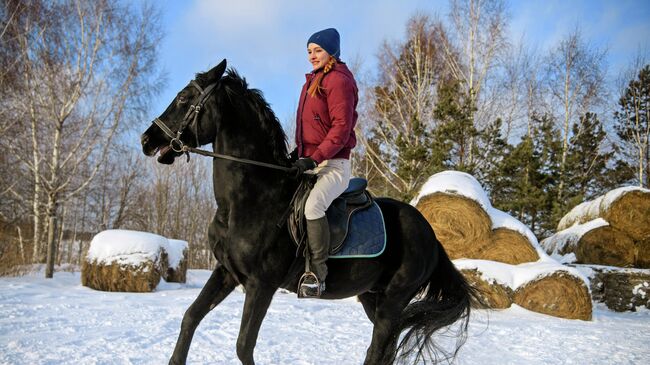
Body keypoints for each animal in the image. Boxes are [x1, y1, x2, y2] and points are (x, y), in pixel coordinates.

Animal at [140, 60, 476, 364]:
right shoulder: (227, 272)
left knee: (376, 351)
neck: (247, 201)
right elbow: (190, 317)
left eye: (184, 98)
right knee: (386, 350)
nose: (146, 140)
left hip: (394, 299)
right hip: (373, 297)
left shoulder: (261, 284)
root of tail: (431, 234)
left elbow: (244, 346)